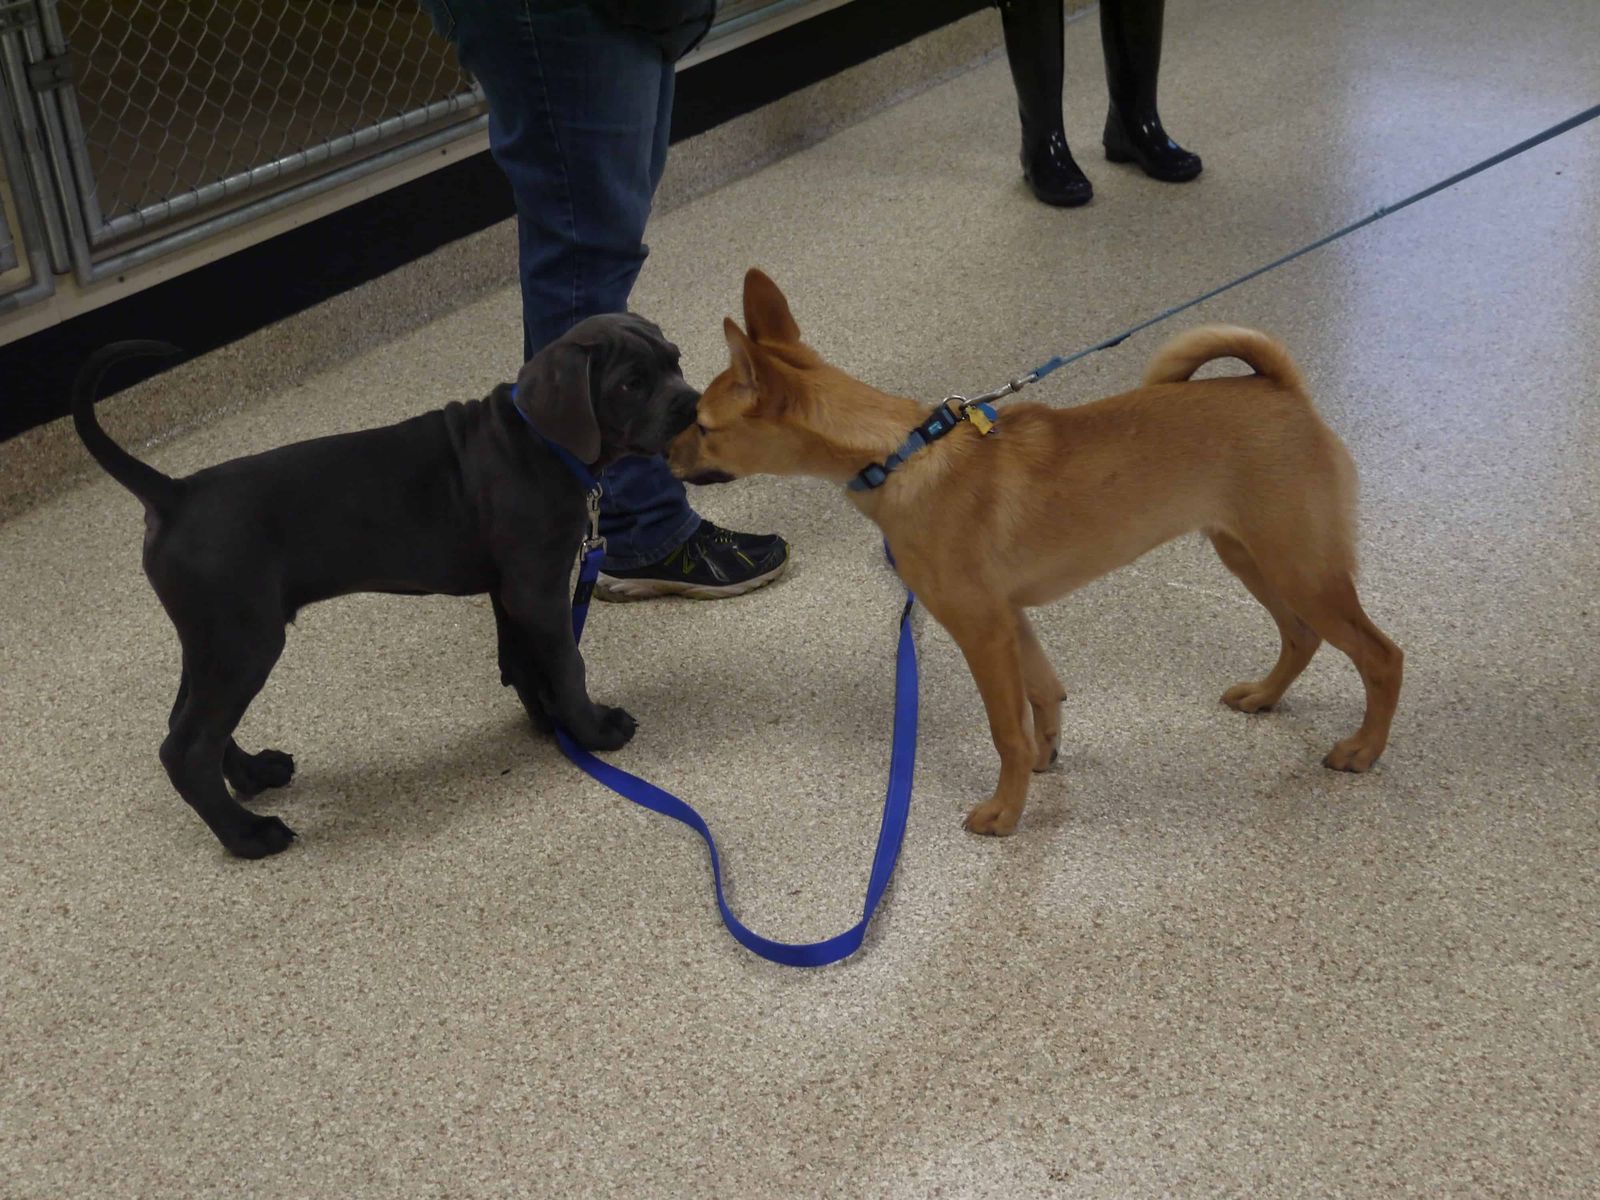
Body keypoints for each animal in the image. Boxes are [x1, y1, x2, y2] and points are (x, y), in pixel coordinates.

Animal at [74, 314, 698, 858]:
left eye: (675, 360)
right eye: (631, 384)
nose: (692, 403)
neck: (540, 443)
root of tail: (174, 494)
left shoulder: (510, 589)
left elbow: (522, 661)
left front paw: (549, 723)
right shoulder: (536, 588)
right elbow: (568, 664)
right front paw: (592, 729)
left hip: (212, 637)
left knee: (188, 723)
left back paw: (254, 773)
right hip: (244, 640)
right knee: (186, 748)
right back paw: (249, 836)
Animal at [669, 270, 1403, 836]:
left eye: (702, 427)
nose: (663, 453)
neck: (901, 454)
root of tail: (1278, 388)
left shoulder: (980, 630)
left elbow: (1006, 729)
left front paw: (1005, 811)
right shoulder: (1011, 619)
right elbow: (1044, 693)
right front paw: (1047, 758)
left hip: (1301, 566)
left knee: (1380, 656)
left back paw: (1364, 748)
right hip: (1253, 556)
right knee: (1302, 637)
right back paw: (1264, 696)